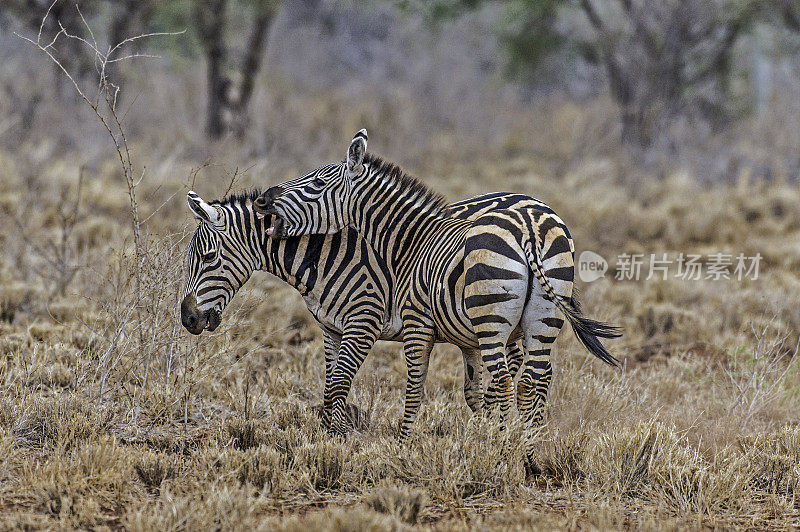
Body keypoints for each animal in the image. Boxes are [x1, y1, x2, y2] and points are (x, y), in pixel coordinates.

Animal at [180, 189, 532, 434]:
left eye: (208, 257)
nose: (188, 319)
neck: (323, 255)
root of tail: (529, 199)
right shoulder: (331, 328)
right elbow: (330, 385)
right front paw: (327, 436)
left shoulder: (364, 322)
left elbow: (340, 383)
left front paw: (337, 440)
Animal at [253, 129, 620, 474]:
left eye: (316, 183)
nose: (261, 200)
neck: (413, 242)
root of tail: (530, 223)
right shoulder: (456, 336)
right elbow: (468, 389)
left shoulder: (410, 322)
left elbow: (413, 386)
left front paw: (400, 447)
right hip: (541, 318)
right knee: (533, 380)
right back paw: (528, 459)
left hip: (493, 320)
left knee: (505, 380)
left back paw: (502, 456)